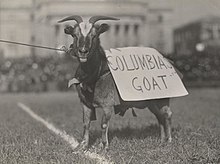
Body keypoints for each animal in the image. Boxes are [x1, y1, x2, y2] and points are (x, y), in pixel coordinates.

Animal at [58, 15, 174, 151]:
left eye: (95, 35)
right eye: (74, 35)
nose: (83, 51)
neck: (95, 75)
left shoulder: (108, 104)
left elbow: (103, 124)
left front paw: (104, 147)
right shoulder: (85, 104)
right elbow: (86, 124)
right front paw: (82, 146)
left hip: (162, 98)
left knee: (167, 114)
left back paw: (169, 140)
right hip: (151, 103)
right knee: (159, 116)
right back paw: (162, 141)